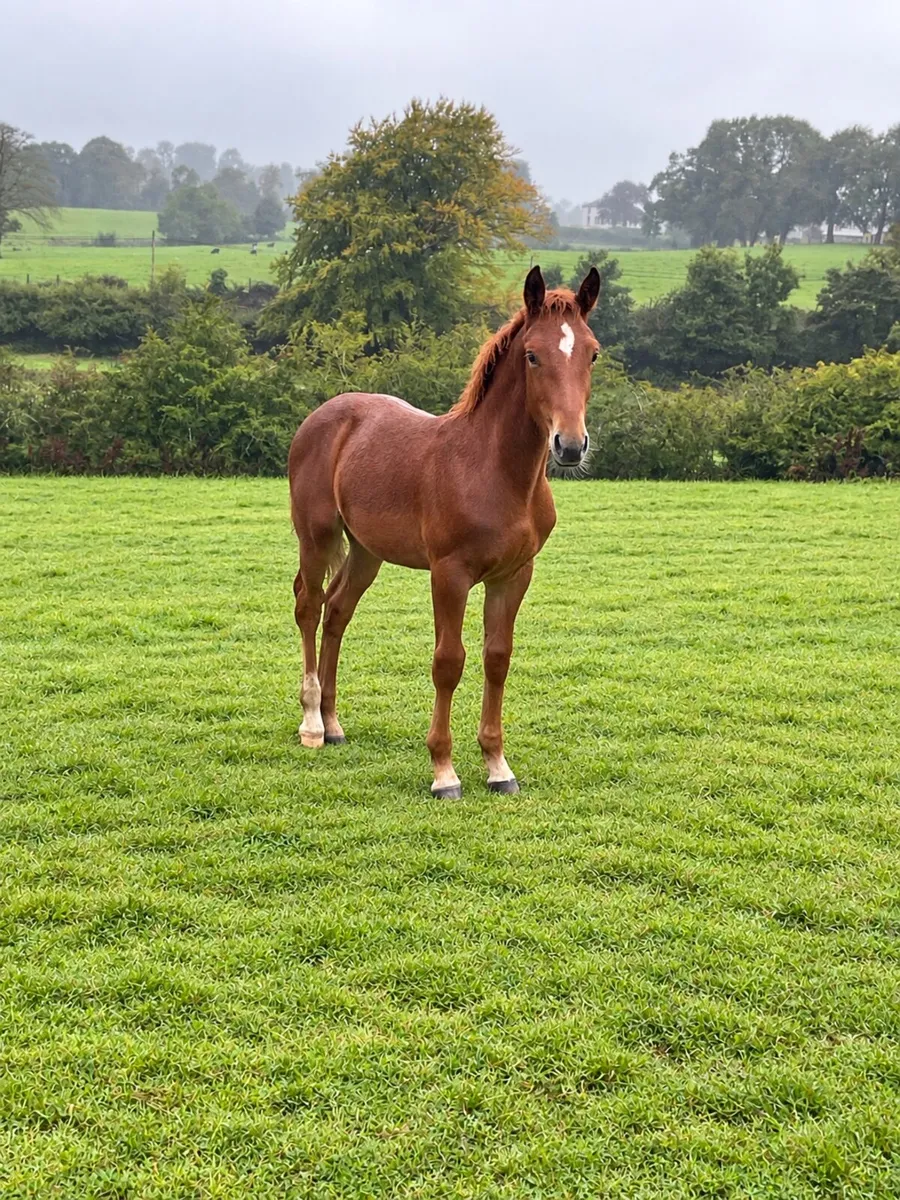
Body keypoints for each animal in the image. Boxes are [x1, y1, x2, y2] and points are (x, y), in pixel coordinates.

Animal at [288, 265, 600, 798]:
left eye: (592, 352)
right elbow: (448, 662)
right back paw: (311, 725)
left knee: (338, 611)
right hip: (317, 536)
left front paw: (498, 767)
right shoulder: (449, 574)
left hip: (367, 551)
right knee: (309, 607)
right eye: (532, 355)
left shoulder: (514, 575)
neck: (494, 471)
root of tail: (321, 416)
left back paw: (333, 724)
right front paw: (444, 772)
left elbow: (497, 658)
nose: (571, 445)